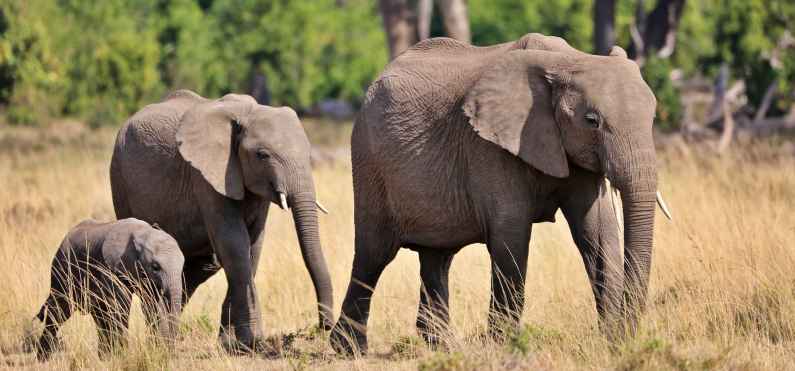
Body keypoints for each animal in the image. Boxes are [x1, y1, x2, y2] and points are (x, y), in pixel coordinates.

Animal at [33, 218, 184, 360]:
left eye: (183, 265)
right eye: (155, 267)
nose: (172, 353)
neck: (143, 233)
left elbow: (152, 306)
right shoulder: (111, 268)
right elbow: (120, 306)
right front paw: (124, 356)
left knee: (99, 316)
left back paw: (103, 358)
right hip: (62, 269)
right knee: (59, 311)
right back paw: (43, 359)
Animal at [110, 90, 334, 352]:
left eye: (308, 154)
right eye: (262, 155)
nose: (324, 326)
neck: (247, 113)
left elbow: (253, 247)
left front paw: (231, 343)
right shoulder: (206, 177)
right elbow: (234, 244)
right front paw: (251, 342)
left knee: (202, 265)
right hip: (119, 178)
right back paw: (158, 341)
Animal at [330, 32, 672, 354]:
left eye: (653, 117)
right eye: (592, 121)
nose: (627, 337)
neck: (564, 60)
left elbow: (597, 233)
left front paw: (612, 342)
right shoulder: (490, 146)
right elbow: (511, 236)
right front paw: (503, 346)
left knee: (437, 257)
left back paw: (444, 346)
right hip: (370, 160)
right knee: (374, 255)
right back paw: (349, 348)